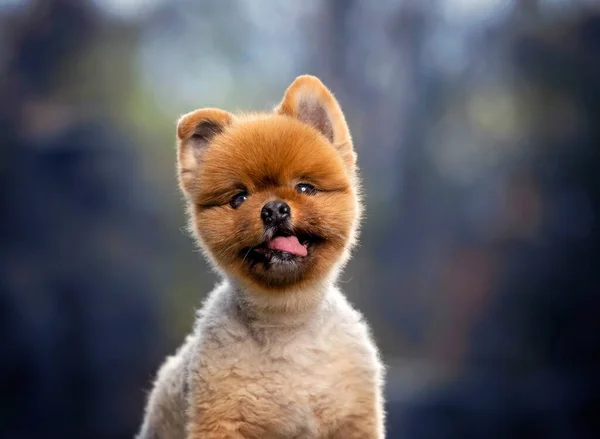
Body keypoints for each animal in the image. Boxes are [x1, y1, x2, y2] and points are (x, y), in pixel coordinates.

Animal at [137, 75, 384, 439]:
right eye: (239, 198)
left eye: (305, 188)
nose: (274, 209)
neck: (287, 324)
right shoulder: (220, 420)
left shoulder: (353, 418)